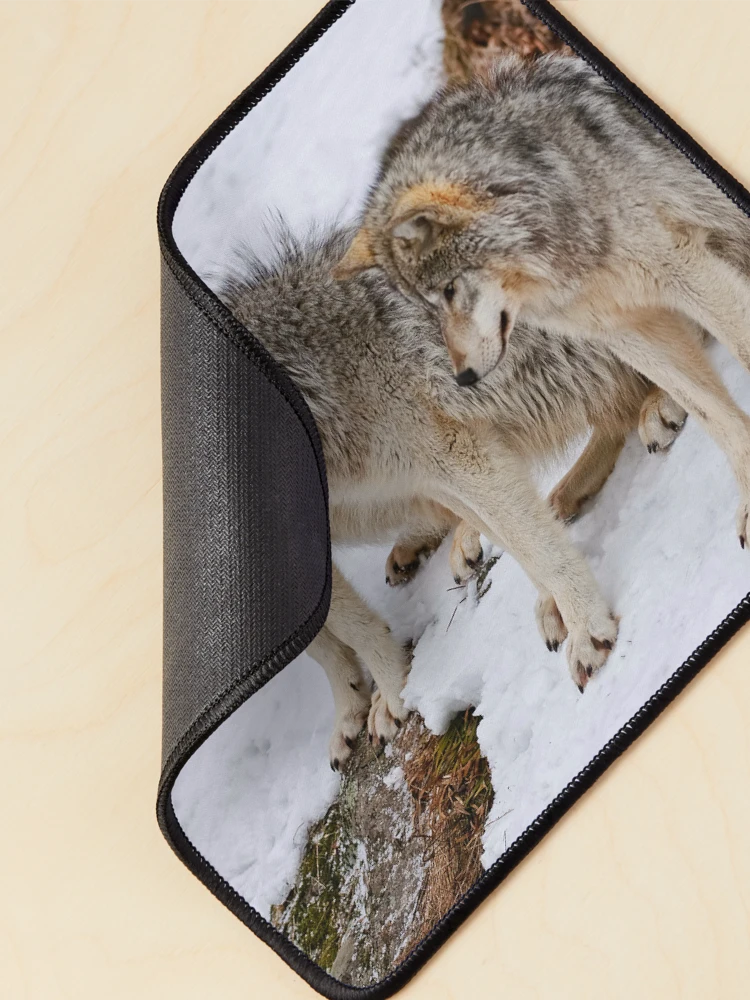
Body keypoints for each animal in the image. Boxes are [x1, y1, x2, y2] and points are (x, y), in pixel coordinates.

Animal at [223, 227, 684, 768]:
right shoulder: (430, 476)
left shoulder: (459, 455)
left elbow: (537, 551)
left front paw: (586, 629)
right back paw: (559, 497)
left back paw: (663, 403)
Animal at [335, 54, 750, 549]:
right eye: (427, 304)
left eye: (449, 290)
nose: (464, 378)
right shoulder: (621, 328)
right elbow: (714, 415)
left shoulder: (685, 272)